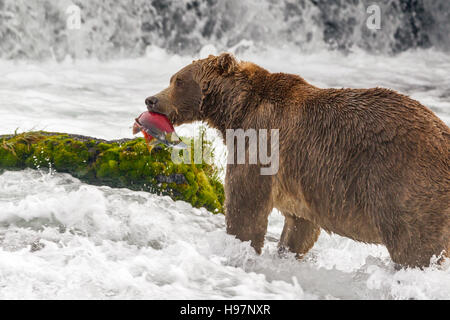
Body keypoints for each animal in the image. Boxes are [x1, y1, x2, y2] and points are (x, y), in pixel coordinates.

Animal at [146, 53, 448, 268]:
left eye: (178, 80)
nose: (151, 99)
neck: (235, 110)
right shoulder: (303, 187)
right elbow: (299, 226)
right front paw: (285, 253)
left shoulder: (262, 142)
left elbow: (246, 206)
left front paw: (238, 248)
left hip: (404, 185)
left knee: (414, 248)